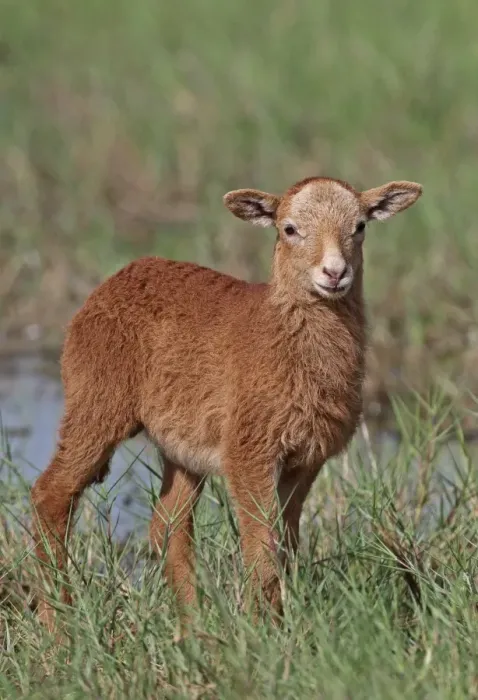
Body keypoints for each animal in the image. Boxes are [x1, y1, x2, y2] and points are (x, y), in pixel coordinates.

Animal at [31, 175, 422, 629]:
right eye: (288, 229)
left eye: (359, 226)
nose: (334, 272)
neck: (280, 335)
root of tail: (118, 278)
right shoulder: (248, 451)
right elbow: (260, 542)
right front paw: (263, 630)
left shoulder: (307, 458)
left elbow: (285, 541)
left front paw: (277, 622)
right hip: (95, 401)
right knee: (51, 495)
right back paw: (58, 624)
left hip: (181, 443)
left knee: (167, 524)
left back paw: (193, 628)